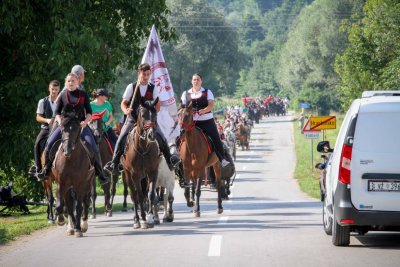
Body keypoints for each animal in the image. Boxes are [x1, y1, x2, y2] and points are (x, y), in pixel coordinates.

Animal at [122, 100, 160, 230]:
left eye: (155, 114)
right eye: (143, 115)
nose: (152, 135)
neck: (143, 147)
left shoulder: (153, 172)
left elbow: (151, 194)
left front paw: (150, 217)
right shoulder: (135, 175)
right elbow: (138, 195)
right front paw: (143, 219)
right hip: (127, 175)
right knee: (134, 196)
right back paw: (136, 220)